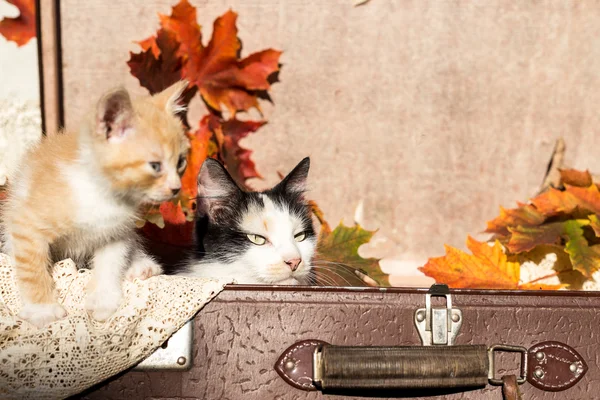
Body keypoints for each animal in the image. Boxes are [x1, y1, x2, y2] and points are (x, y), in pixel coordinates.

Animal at [1, 79, 190, 326]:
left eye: (181, 162)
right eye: (155, 166)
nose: (176, 188)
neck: (103, 195)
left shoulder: (116, 230)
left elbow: (111, 262)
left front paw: (103, 299)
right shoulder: (25, 225)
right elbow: (32, 269)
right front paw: (42, 309)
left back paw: (141, 264)